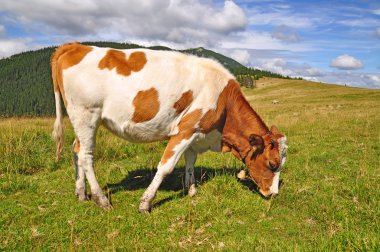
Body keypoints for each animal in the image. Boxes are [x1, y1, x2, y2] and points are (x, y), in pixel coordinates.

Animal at [51, 42, 288, 212]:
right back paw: (101, 200)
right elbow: (166, 166)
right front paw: (146, 203)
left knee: (76, 150)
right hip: (86, 114)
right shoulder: (186, 129)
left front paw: (191, 190)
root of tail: (76, 46)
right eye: (272, 163)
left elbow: (190, 162)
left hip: (81, 120)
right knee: (86, 156)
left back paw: (81, 194)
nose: (274, 194)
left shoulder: (196, 133)